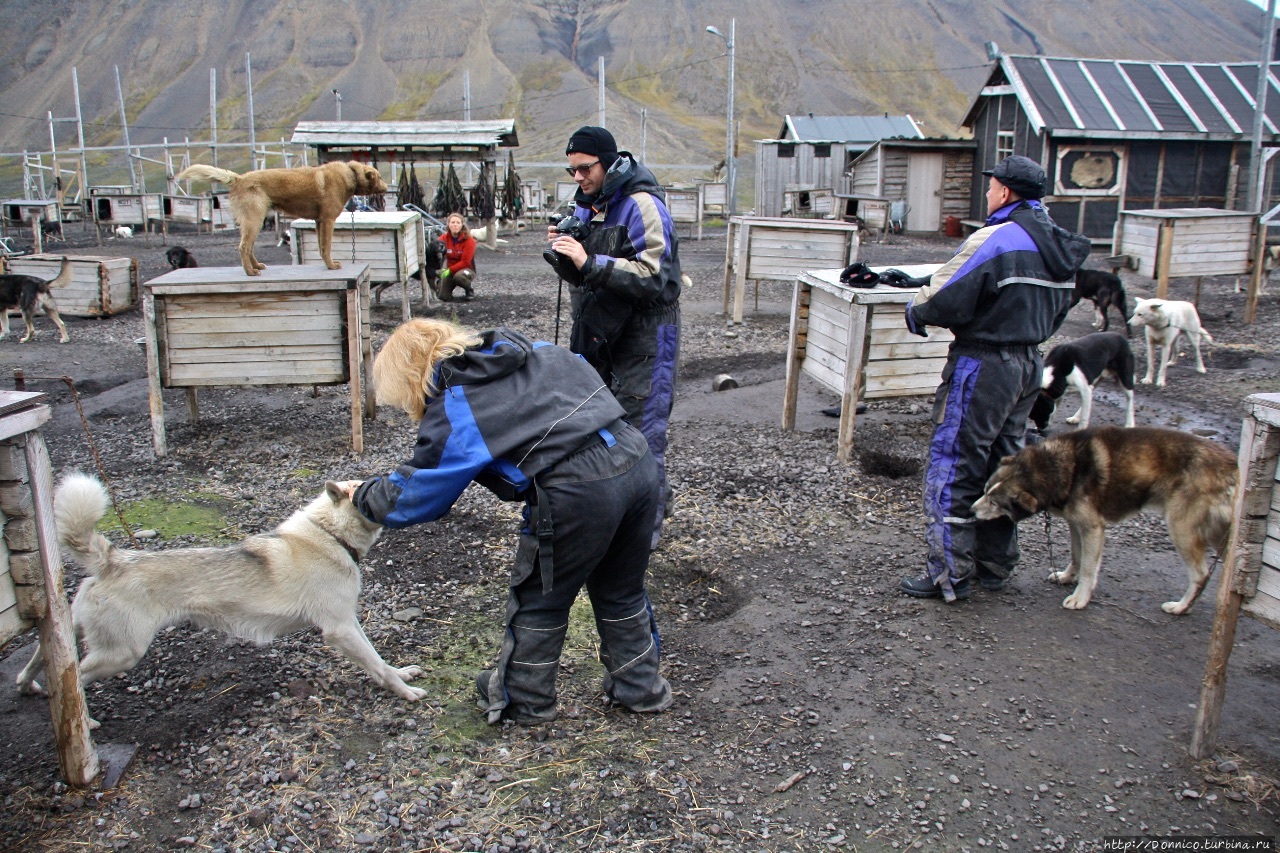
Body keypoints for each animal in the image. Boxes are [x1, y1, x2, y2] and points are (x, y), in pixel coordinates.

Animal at [175, 161, 384, 274]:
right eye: (380, 177)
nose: (385, 187)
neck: (351, 174)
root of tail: (239, 179)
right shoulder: (328, 220)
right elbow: (326, 247)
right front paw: (331, 265)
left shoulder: (319, 221)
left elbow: (320, 247)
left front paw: (327, 263)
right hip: (254, 219)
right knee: (243, 247)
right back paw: (250, 271)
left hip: (255, 221)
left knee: (248, 247)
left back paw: (256, 266)